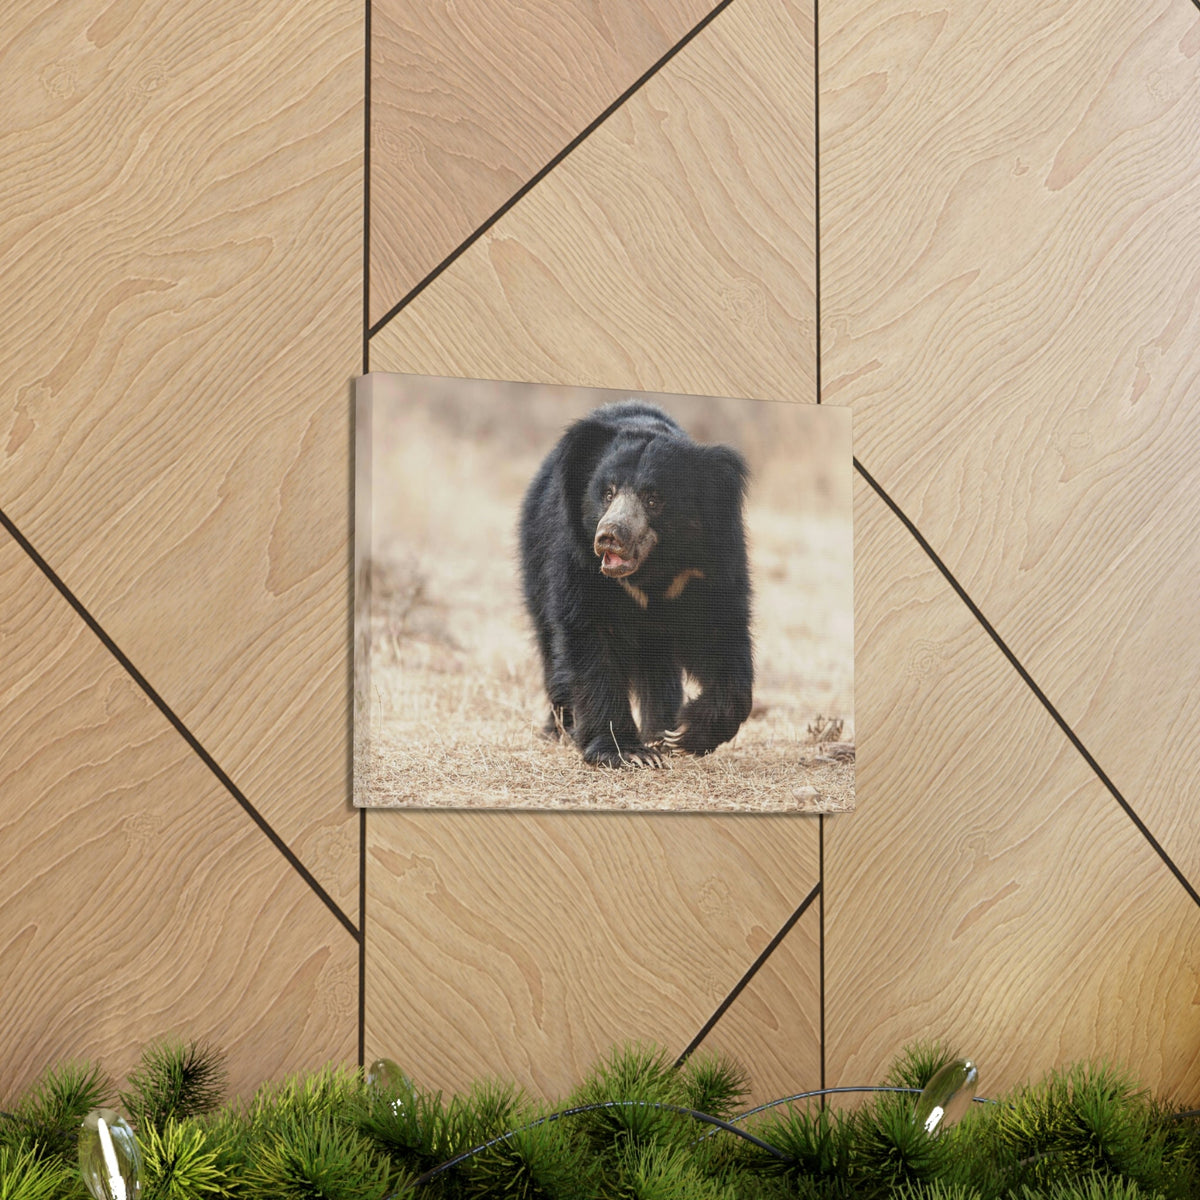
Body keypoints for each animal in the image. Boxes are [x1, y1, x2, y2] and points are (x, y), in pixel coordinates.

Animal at [519, 400, 753, 768]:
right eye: (607, 492)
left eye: (653, 499)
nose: (609, 536)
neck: (651, 571)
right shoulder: (578, 563)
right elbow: (588, 640)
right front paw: (625, 751)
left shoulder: (709, 567)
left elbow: (722, 636)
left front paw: (683, 734)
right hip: (535, 562)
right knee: (550, 645)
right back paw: (562, 727)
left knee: (659, 670)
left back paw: (660, 730)